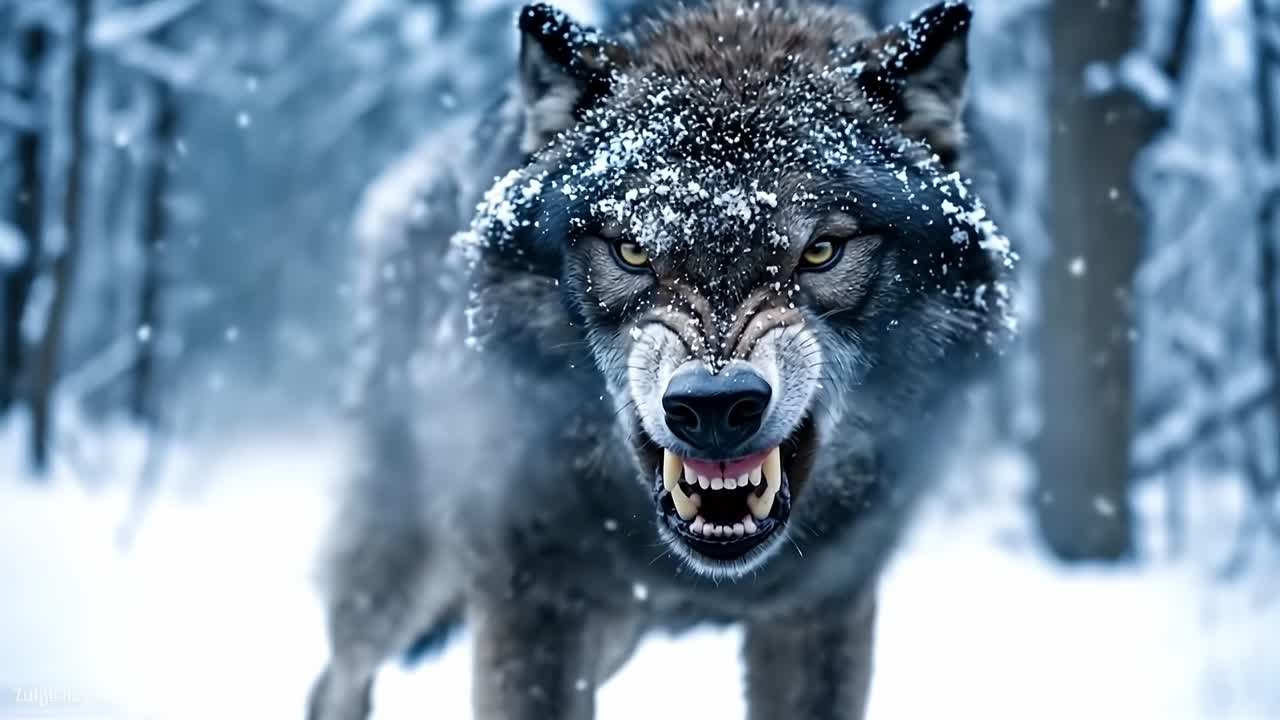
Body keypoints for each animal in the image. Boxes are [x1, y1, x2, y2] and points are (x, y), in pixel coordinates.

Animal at [308, 1, 1015, 718]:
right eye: (632, 252)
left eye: (820, 252)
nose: (715, 407)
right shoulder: (531, 597)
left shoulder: (822, 609)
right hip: (406, 576)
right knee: (338, 676)